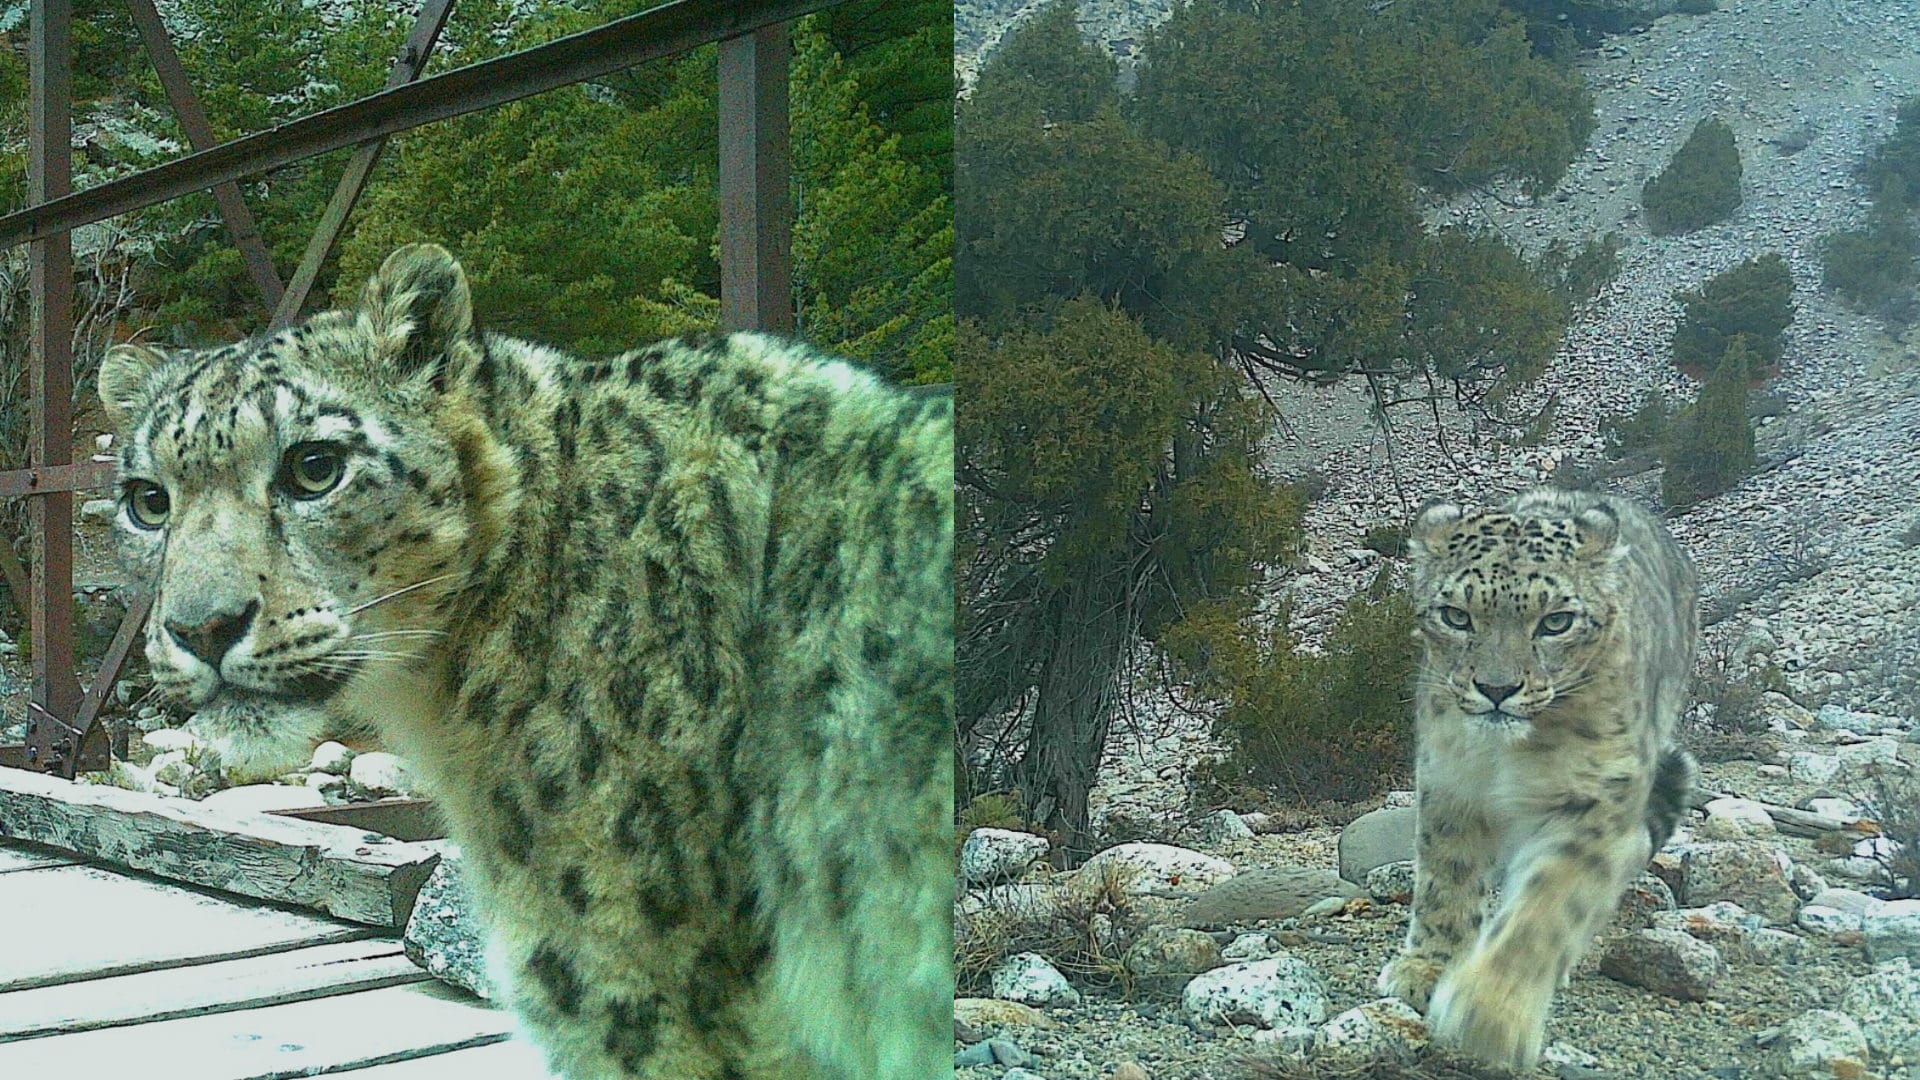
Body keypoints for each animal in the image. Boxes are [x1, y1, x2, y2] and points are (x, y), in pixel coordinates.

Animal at [1376, 486, 1697, 1073]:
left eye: (1556, 622)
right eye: (1456, 615)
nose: (1496, 688)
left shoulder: (1594, 803)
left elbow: (1547, 905)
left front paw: (1490, 1011)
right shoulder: (1450, 783)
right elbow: (1445, 878)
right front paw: (1429, 966)